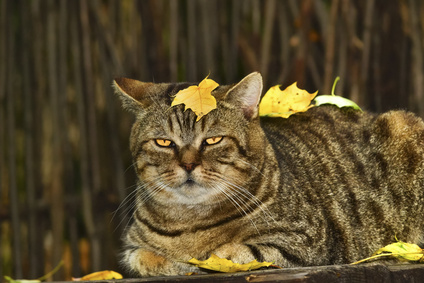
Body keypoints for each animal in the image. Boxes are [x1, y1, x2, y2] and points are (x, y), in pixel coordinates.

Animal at [112, 72, 424, 278]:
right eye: (164, 142)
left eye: (213, 140)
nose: (188, 165)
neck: (189, 221)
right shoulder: (132, 249)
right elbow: (141, 257)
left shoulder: (306, 242)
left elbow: (230, 253)